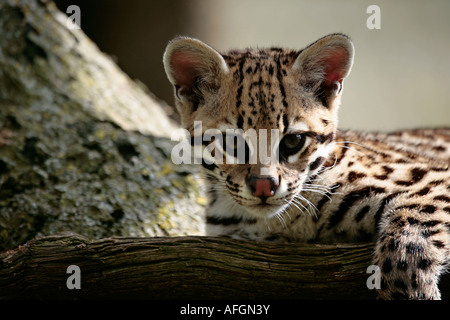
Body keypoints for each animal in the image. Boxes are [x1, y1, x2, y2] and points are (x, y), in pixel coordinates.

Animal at [163, 33, 450, 298]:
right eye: (232, 142)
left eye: (293, 141)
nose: (264, 186)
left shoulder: (433, 179)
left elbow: (408, 242)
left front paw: (416, 291)